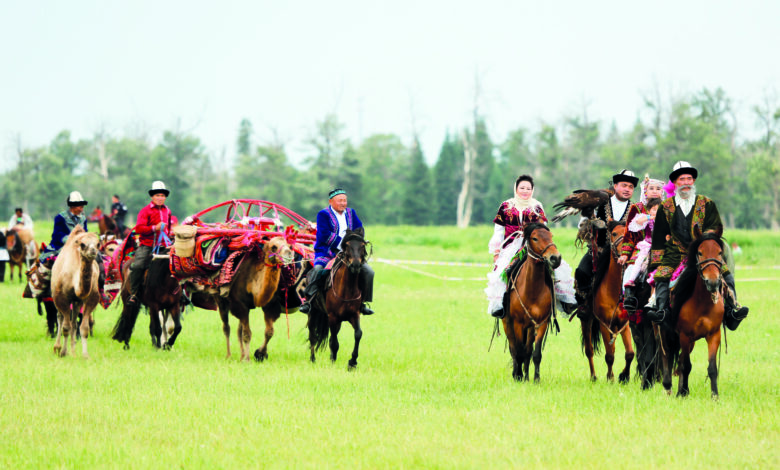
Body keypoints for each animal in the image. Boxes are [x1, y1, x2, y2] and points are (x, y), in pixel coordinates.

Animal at [50, 226, 101, 358]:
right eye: (83, 244)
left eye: (98, 243)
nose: (93, 250)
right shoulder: (61, 297)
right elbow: (65, 327)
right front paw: (63, 352)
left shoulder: (91, 298)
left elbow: (84, 328)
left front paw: (85, 355)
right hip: (55, 294)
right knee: (60, 317)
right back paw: (57, 347)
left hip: (77, 301)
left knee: (74, 321)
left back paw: (73, 350)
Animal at [307, 228, 368, 370]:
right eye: (347, 245)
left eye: (362, 245)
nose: (355, 265)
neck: (348, 289)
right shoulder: (333, 316)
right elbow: (334, 342)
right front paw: (333, 362)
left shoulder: (354, 314)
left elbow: (358, 334)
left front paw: (352, 362)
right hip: (313, 313)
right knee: (312, 335)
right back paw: (312, 359)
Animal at [503, 223, 562, 382]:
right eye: (535, 238)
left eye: (551, 236)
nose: (555, 258)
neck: (532, 290)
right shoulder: (518, 323)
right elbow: (518, 351)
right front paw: (518, 376)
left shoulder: (541, 323)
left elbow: (535, 353)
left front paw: (535, 379)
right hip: (507, 323)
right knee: (513, 348)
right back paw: (517, 373)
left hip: (530, 327)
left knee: (528, 350)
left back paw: (526, 376)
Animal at [580, 221, 635, 382]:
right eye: (614, 233)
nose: (624, 251)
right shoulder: (604, 324)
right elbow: (609, 355)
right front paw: (610, 378)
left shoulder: (624, 324)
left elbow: (630, 353)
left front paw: (624, 376)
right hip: (586, 320)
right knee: (589, 350)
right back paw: (593, 376)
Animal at [660, 225, 726, 399]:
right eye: (700, 252)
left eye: (719, 252)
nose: (712, 282)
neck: (702, 303)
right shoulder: (684, 335)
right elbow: (686, 365)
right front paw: (683, 392)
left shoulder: (714, 335)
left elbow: (712, 368)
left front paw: (715, 396)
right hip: (664, 331)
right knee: (666, 354)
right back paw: (668, 386)